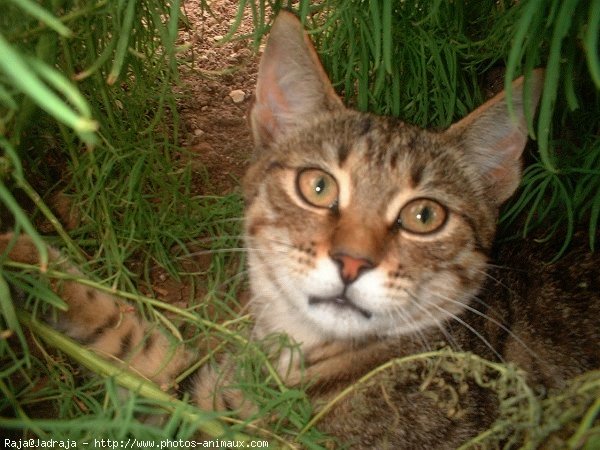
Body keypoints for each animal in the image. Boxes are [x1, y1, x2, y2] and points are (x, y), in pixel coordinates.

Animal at [1, 10, 600, 450]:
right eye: (318, 186)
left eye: (424, 217)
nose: (353, 261)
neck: (297, 348)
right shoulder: (209, 395)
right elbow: (141, 345)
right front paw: (24, 258)